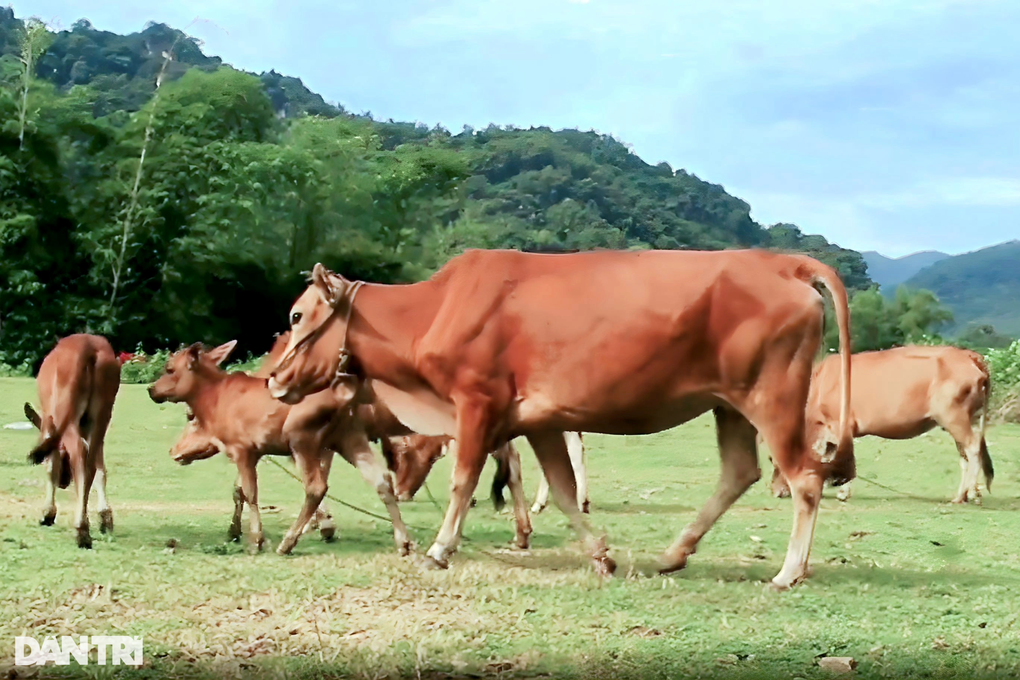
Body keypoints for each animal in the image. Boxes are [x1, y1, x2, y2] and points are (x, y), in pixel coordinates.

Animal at [25, 334, 120, 546]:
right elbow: (101, 468)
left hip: (67, 411)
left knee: (79, 452)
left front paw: (48, 513)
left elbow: (50, 464)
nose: (63, 482)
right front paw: (105, 517)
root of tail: (88, 348)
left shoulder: (49, 420)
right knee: (91, 462)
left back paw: (81, 529)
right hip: (103, 412)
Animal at [147, 342, 410, 554]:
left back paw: (288, 542)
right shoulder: (255, 453)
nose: (151, 389)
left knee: (316, 487)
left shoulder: (242, 450)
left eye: (170, 368)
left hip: (303, 439)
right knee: (382, 479)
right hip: (349, 437)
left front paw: (256, 540)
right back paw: (404, 541)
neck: (213, 399)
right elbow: (241, 490)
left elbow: (250, 493)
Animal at [265, 249, 852, 591]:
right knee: (739, 471)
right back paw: (673, 554)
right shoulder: (540, 420)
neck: (434, 309)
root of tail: (782, 262)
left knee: (804, 477)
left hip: (772, 397)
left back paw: (788, 571)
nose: (271, 379)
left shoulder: (476, 402)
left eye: (296, 315)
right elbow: (565, 492)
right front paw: (600, 556)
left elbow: (463, 481)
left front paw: (437, 550)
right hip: (728, 403)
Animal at [767, 346, 991, 505]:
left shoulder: (841, 426)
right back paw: (963, 495)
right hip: (963, 420)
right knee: (966, 455)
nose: (775, 492)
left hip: (954, 418)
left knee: (973, 448)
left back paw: (969, 493)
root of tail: (969, 355)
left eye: (773, 460)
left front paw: (842, 492)